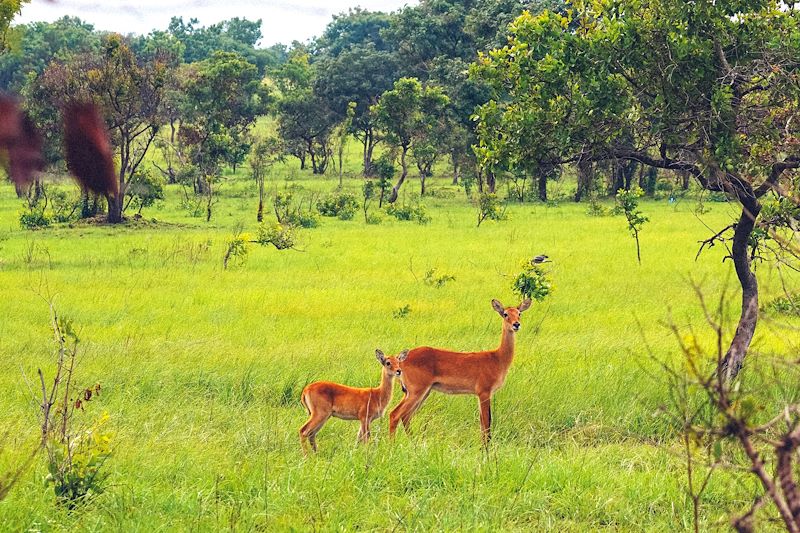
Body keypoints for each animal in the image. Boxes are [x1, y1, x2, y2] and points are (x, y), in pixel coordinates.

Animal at [390, 298, 532, 442]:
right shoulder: (484, 393)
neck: (497, 358)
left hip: (422, 392)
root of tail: (400, 360)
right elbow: (487, 424)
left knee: (405, 416)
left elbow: (482, 424)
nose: (516, 324)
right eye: (505, 314)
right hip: (416, 391)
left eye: (519, 313)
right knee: (395, 414)